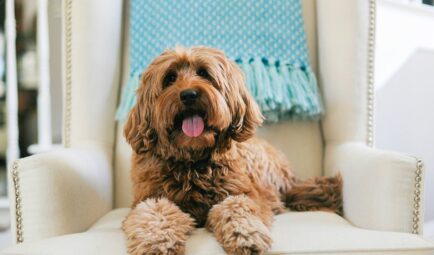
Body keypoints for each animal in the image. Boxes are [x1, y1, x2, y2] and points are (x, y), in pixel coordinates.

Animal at [122, 46, 342, 255]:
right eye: (170, 78)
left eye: (203, 73)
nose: (188, 94)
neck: (193, 160)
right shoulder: (146, 199)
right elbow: (154, 212)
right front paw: (157, 242)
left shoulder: (245, 193)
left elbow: (235, 207)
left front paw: (245, 235)